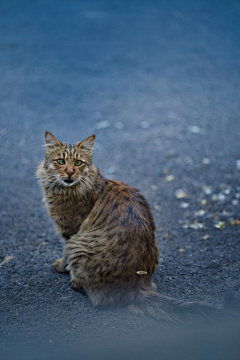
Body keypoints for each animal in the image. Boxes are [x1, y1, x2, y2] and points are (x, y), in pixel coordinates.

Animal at [36, 131, 219, 322]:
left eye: (78, 163)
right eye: (61, 161)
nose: (70, 172)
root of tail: (137, 287)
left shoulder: (70, 232)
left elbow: (64, 254)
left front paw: (61, 267)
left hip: (78, 244)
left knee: (98, 298)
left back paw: (76, 283)